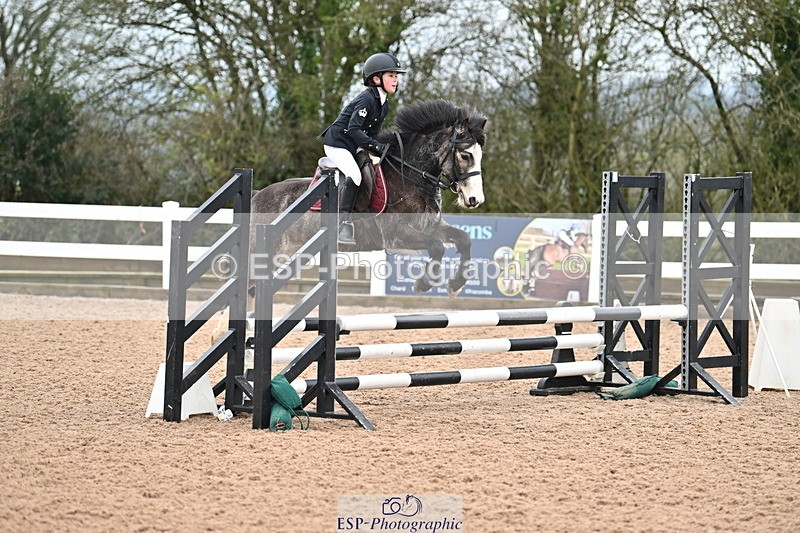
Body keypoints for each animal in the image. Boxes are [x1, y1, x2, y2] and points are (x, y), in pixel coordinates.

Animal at [250, 99, 488, 296]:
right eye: (465, 155)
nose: (475, 200)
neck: (408, 175)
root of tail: (257, 195)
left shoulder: (428, 225)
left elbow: (463, 239)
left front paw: (455, 285)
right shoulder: (396, 233)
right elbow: (437, 246)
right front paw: (424, 283)